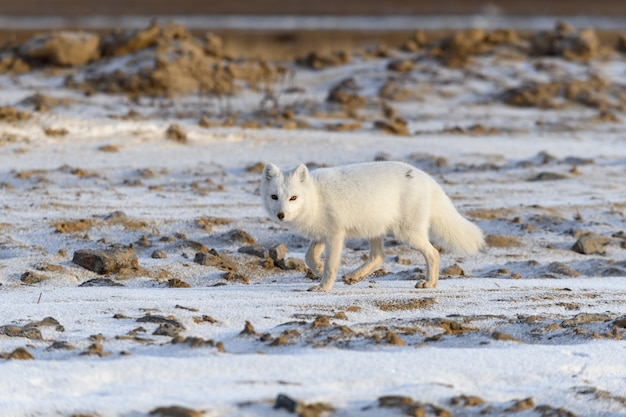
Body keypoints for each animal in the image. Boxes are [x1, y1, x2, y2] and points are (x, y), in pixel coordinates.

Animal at [258, 161, 482, 290]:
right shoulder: (322, 234)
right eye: (274, 196)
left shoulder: (336, 235)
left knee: (433, 253)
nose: (281, 215)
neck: (316, 197)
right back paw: (354, 277)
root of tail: (426, 177)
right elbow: (309, 257)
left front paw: (324, 286)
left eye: (293, 198)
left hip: (407, 232)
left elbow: (331, 265)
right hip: (375, 229)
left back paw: (429, 284)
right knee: (378, 256)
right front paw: (319, 269)